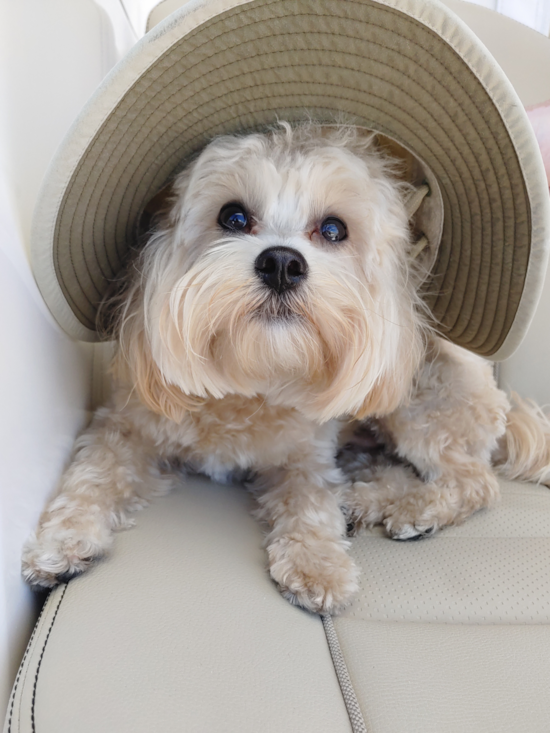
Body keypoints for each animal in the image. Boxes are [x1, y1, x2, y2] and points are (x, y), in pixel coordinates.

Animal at [22, 124, 550, 612]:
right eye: (233, 217)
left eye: (334, 230)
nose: (281, 262)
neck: (251, 378)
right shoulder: (124, 427)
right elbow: (93, 474)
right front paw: (61, 541)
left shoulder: (307, 456)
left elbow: (311, 501)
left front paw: (320, 565)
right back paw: (365, 499)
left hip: (420, 408)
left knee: (473, 482)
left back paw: (409, 509)